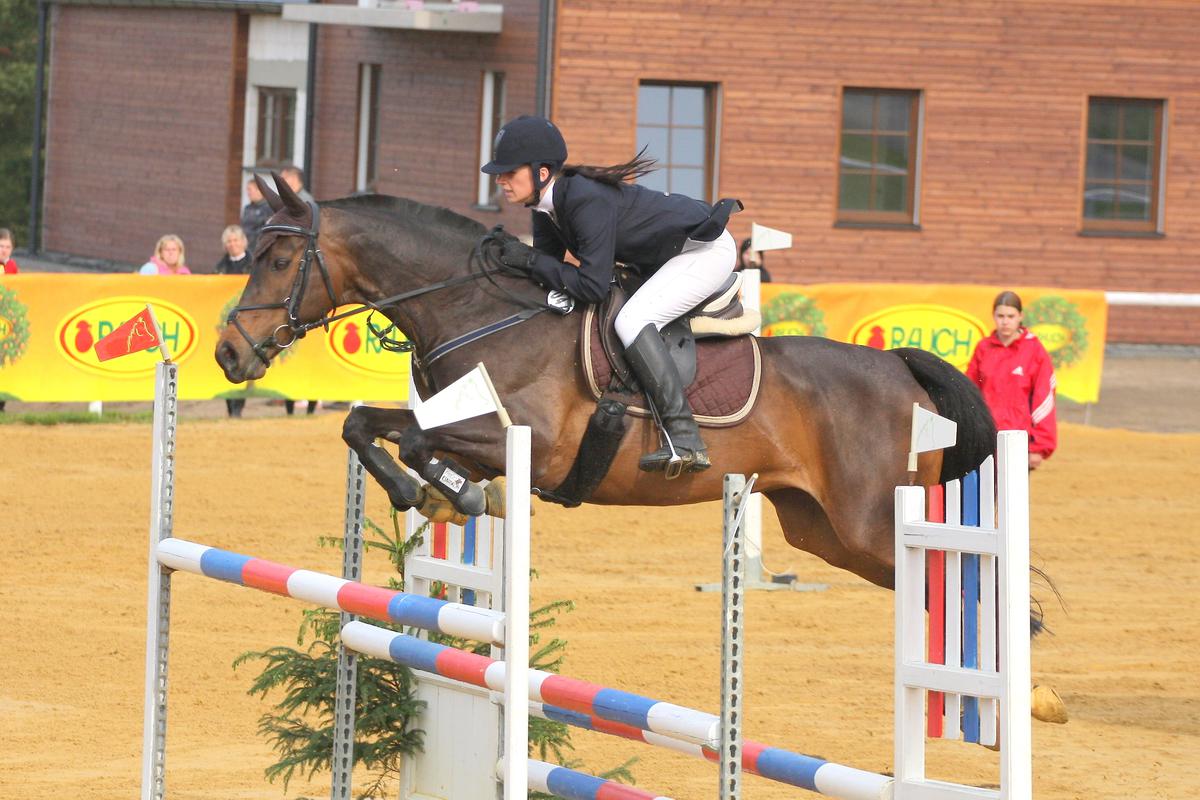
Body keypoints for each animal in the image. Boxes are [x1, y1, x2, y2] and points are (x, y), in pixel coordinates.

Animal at [215, 174, 996, 591]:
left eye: (279, 259)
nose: (227, 353)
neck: (477, 310)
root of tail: (898, 365)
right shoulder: (465, 430)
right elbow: (368, 426)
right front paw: (433, 494)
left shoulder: (529, 443)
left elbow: (412, 439)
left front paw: (447, 493)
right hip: (822, 529)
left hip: (870, 523)